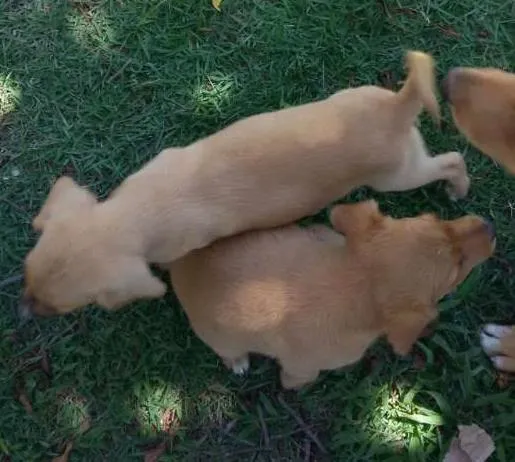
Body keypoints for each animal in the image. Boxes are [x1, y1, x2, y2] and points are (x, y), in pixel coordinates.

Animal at [22, 51, 472, 318]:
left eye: (63, 305)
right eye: (26, 275)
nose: (24, 312)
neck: (139, 209)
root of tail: (397, 107)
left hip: (398, 176)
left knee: (453, 159)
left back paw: (459, 189)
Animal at [169, 200, 496, 388]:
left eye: (436, 218)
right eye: (457, 269)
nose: (490, 226)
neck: (353, 278)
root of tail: (178, 263)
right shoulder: (303, 367)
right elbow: (298, 380)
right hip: (221, 338)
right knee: (228, 351)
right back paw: (237, 362)